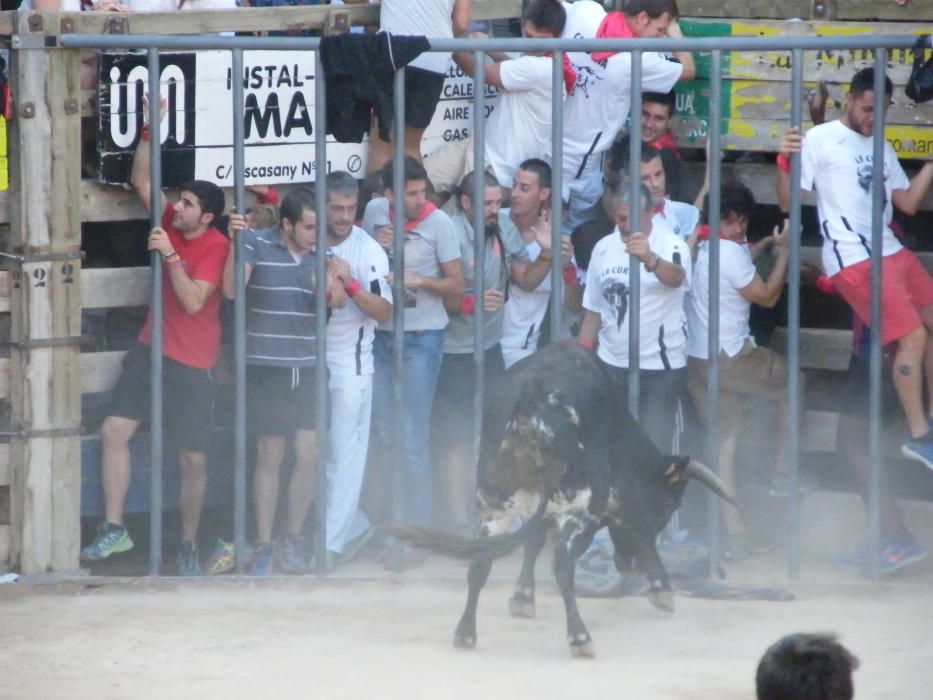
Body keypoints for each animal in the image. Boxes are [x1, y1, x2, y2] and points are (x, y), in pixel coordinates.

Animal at [388, 342, 736, 660]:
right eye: (669, 506)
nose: (628, 566)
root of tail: (527, 403)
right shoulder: (606, 501)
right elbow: (639, 533)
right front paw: (661, 590)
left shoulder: (535, 509)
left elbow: (531, 544)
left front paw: (522, 598)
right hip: (579, 507)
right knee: (563, 565)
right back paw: (580, 638)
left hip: (491, 505)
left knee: (480, 563)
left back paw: (465, 633)